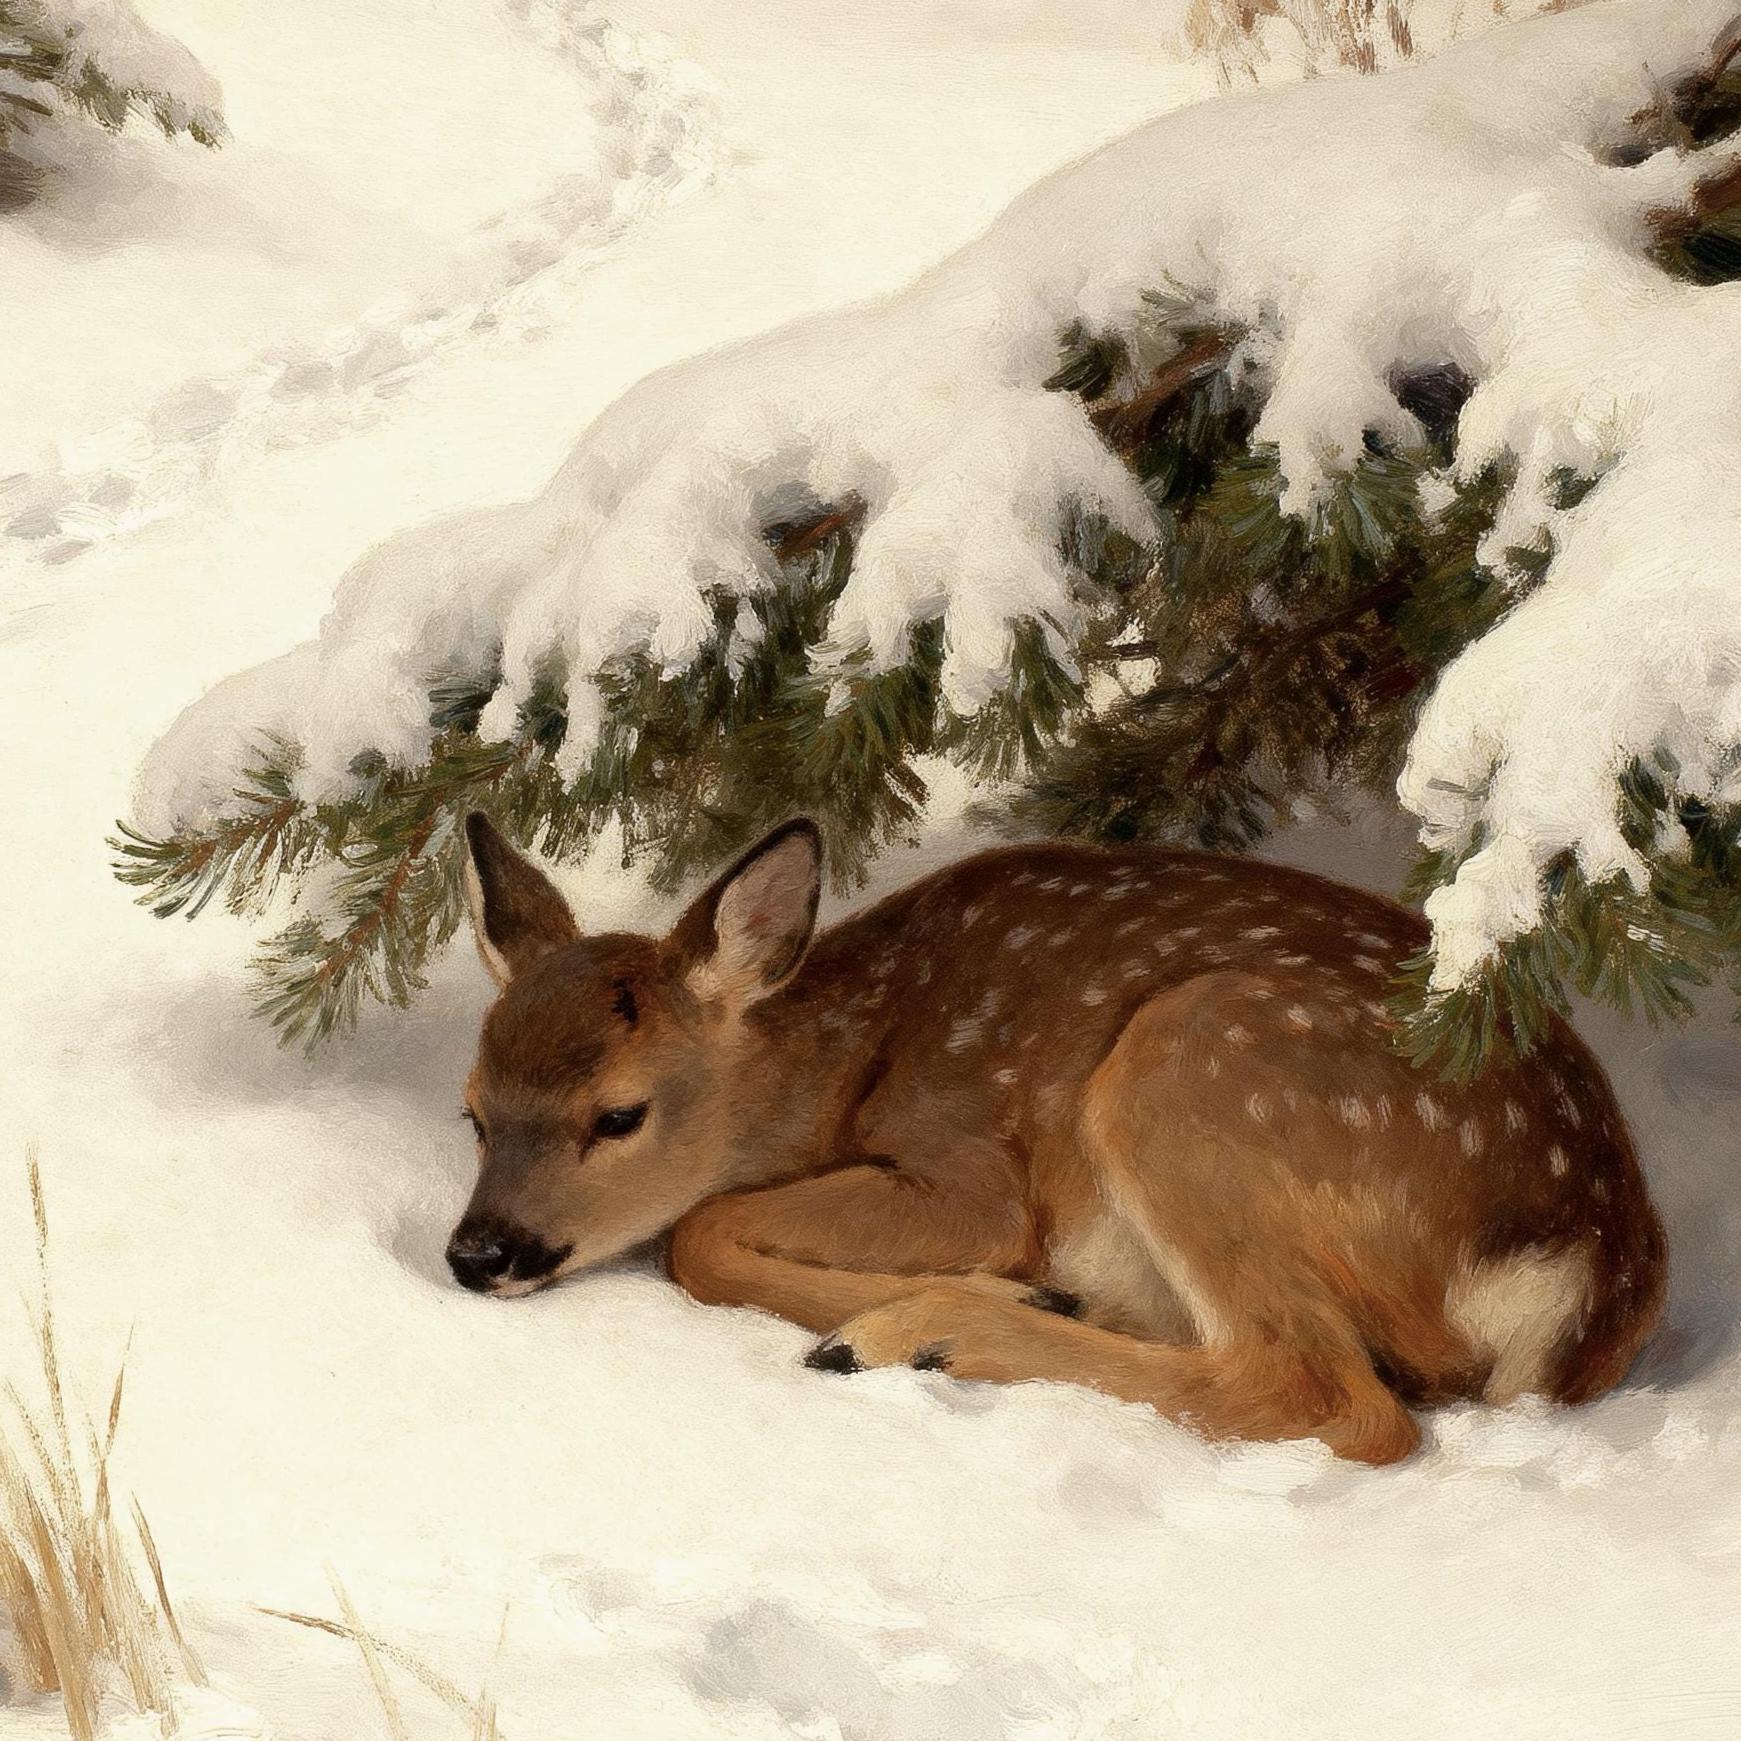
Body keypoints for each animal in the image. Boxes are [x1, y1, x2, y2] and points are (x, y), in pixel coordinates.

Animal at [447, 812, 1666, 1464]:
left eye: (618, 1113)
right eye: (472, 1109)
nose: (476, 1251)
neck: (839, 1066)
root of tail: (1590, 1269)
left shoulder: (968, 1173)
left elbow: (695, 1230)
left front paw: (960, 1296)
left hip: (1193, 1070)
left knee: (1334, 1397)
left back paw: (925, 1332)